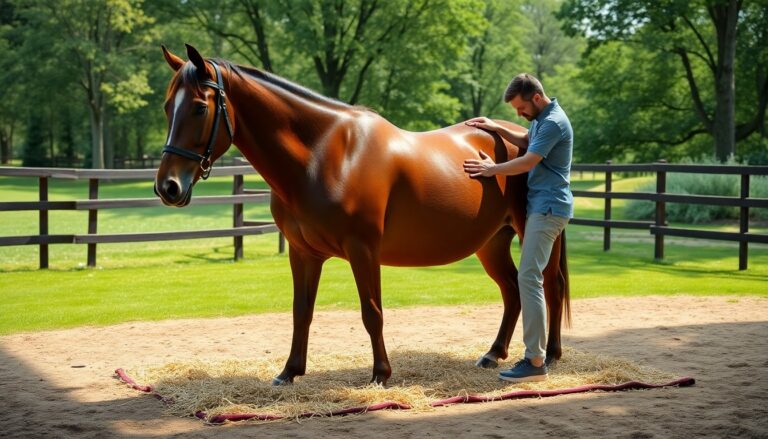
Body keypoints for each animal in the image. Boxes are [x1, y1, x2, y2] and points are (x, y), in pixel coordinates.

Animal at [154, 44, 570, 385]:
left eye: (199, 107)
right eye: (167, 107)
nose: (167, 187)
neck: (326, 155)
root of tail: (523, 137)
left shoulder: (363, 249)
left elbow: (372, 312)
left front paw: (380, 374)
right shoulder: (302, 253)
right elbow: (301, 311)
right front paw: (289, 372)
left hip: (531, 232)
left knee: (548, 285)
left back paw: (549, 356)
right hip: (491, 242)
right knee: (513, 290)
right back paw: (493, 354)